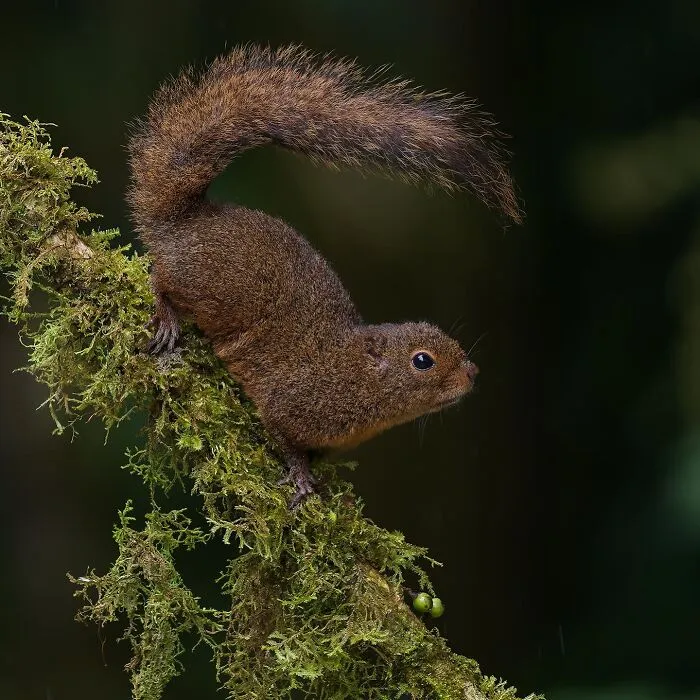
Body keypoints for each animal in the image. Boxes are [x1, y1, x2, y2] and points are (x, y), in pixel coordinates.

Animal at [128, 44, 521, 506]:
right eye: (422, 361)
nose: (472, 373)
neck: (351, 375)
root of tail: (187, 220)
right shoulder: (290, 402)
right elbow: (283, 437)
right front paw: (300, 476)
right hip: (207, 286)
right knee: (161, 277)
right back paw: (167, 316)